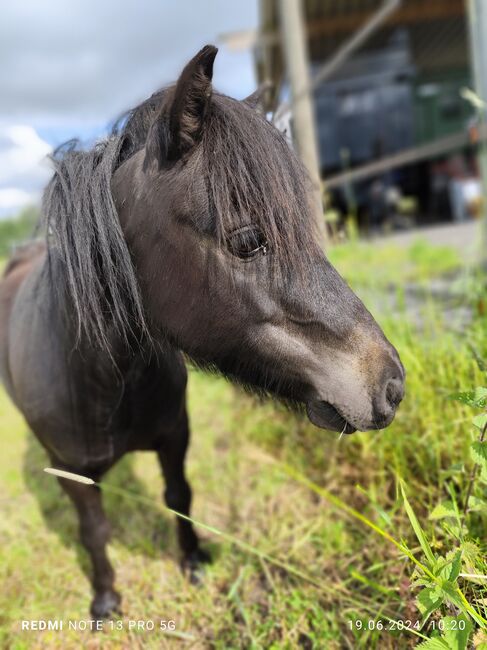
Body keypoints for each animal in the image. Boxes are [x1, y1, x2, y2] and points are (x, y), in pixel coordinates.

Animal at [0, 46, 404, 616]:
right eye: (249, 240)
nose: (390, 383)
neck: (101, 383)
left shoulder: (176, 437)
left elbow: (180, 498)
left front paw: (192, 561)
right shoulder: (71, 474)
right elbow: (94, 530)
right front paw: (106, 599)